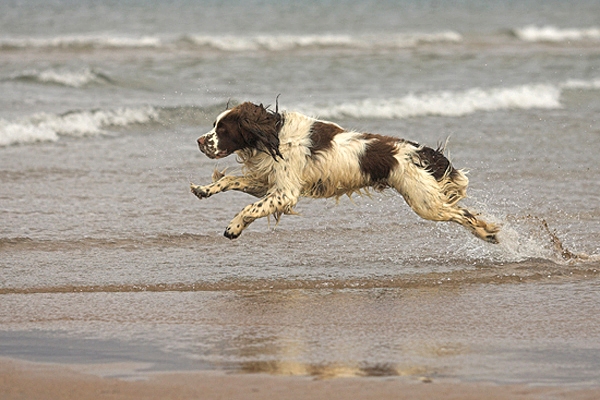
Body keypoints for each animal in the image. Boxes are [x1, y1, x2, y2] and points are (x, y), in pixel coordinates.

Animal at [190, 101, 500, 242]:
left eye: (223, 129)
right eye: (215, 126)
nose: (200, 141)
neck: (273, 135)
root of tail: (418, 151)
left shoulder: (286, 193)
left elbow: (249, 208)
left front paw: (233, 227)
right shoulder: (269, 183)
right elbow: (231, 180)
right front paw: (204, 189)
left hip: (425, 202)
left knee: (462, 214)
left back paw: (488, 233)